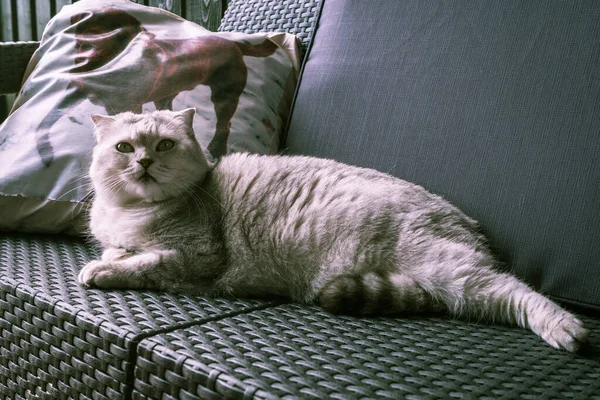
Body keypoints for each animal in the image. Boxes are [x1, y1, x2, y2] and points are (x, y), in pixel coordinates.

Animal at [77, 108, 588, 352]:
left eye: (163, 144)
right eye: (124, 147)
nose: (144, 162)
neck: (133, 213)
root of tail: (467, 224)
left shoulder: (198, 256)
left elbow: (145, 263)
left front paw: (102, 270)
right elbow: (122, 251)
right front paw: (112, 255)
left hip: (454, 271)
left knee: (517, 290)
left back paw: (567, 328)